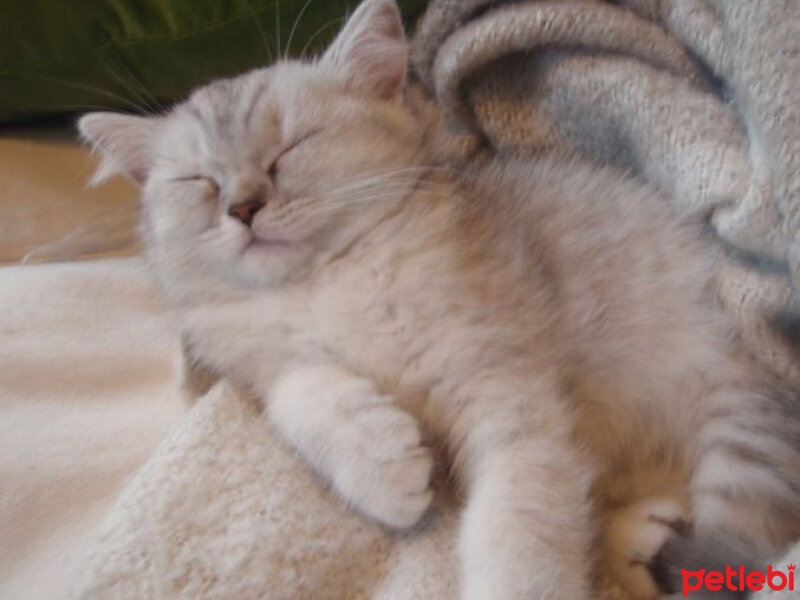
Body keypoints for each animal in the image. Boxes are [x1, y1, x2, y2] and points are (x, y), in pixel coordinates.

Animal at [78, 2, 800, 596]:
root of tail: (744, 362)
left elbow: (519, 518)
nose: (244, 206)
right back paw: (639, 541)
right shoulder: (258, 360)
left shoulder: (506, 385)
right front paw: (378, 457)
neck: (329, 278)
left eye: (292, 148)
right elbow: (298, 391)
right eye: (197, 181)